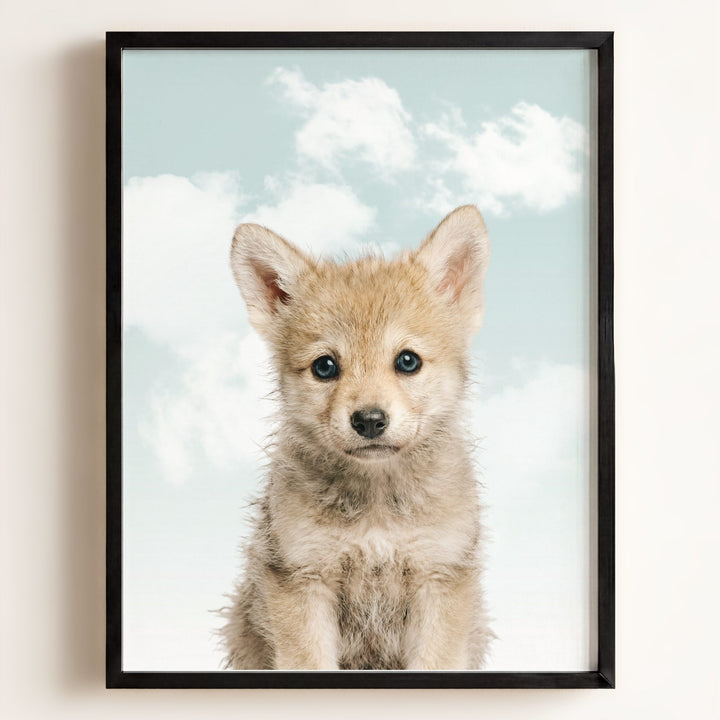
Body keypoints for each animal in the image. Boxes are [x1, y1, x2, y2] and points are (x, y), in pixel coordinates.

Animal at [220, 205, 493, 670]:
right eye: (325, 367)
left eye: (407, 361)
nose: (368, 420)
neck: (377, 508)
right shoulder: (303, 579)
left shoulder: (439, 578)